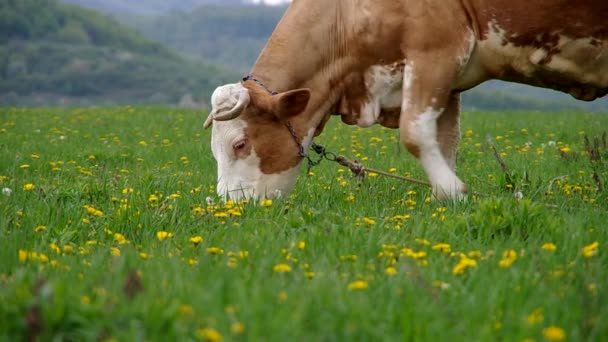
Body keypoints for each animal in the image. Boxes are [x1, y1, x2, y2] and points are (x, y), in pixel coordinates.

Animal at [205, 0, 608, 200]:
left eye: (240, 144)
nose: (230, 205)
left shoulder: (435, 51)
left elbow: (415, 134)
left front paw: (455, 193)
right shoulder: (448, 84)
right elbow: (445, 141)